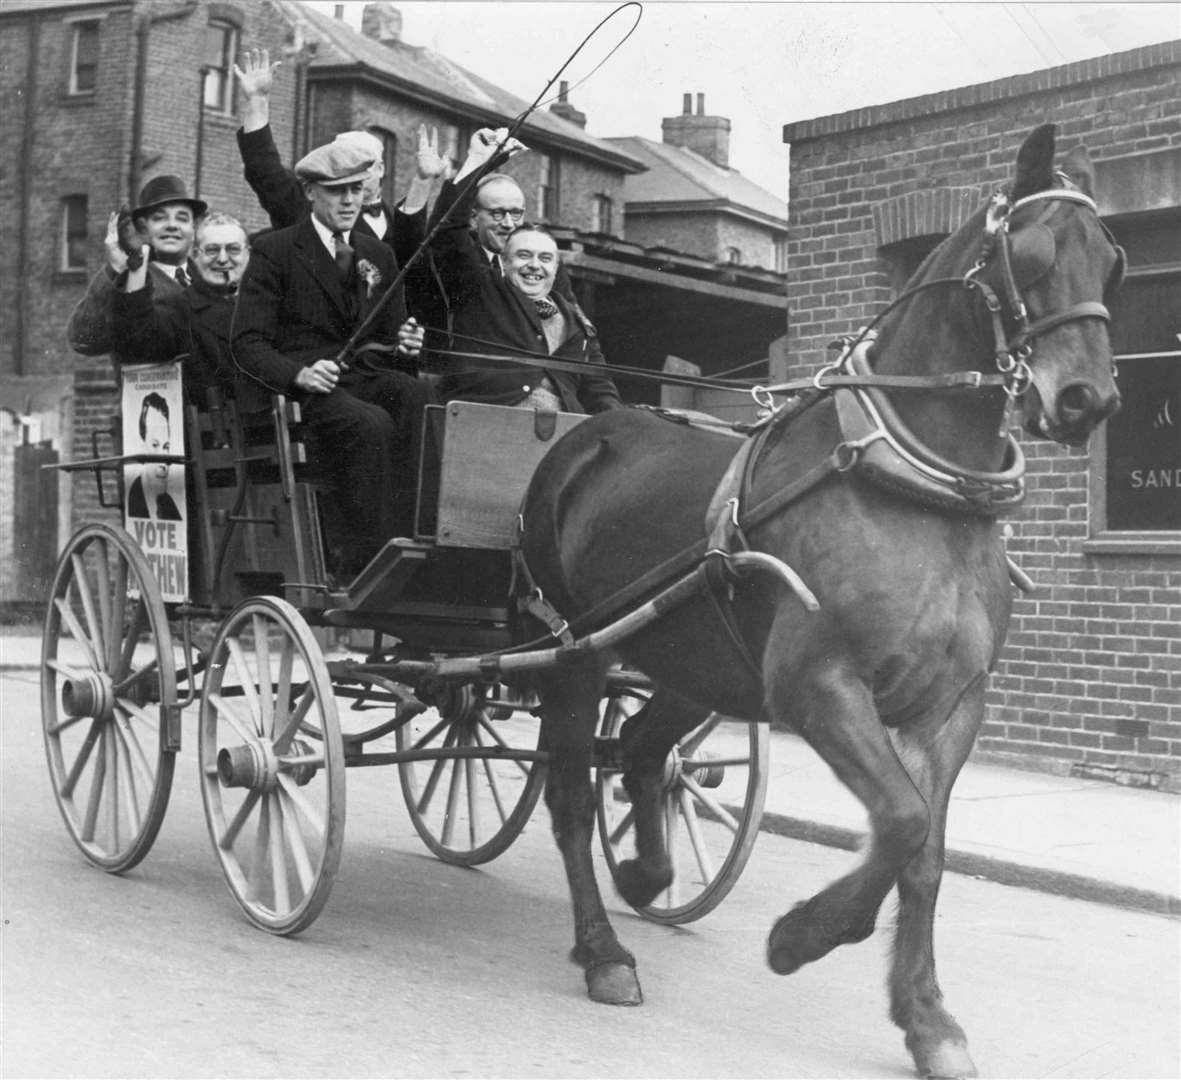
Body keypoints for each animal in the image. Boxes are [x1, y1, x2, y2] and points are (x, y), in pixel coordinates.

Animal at [519, 122, 1124, 1072]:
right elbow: (901, 822)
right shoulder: (819, 685)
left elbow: (925, 852)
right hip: (579, 651)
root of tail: (587, 432)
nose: (1085, 399)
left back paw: (648, 875)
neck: (914, 486)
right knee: (575, 796)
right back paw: (603, 950)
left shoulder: (952, 704)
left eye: (1113, 261)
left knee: (645, 754)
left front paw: (926, 1019)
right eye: (1028, 254)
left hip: (693, 661)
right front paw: (802, 936)